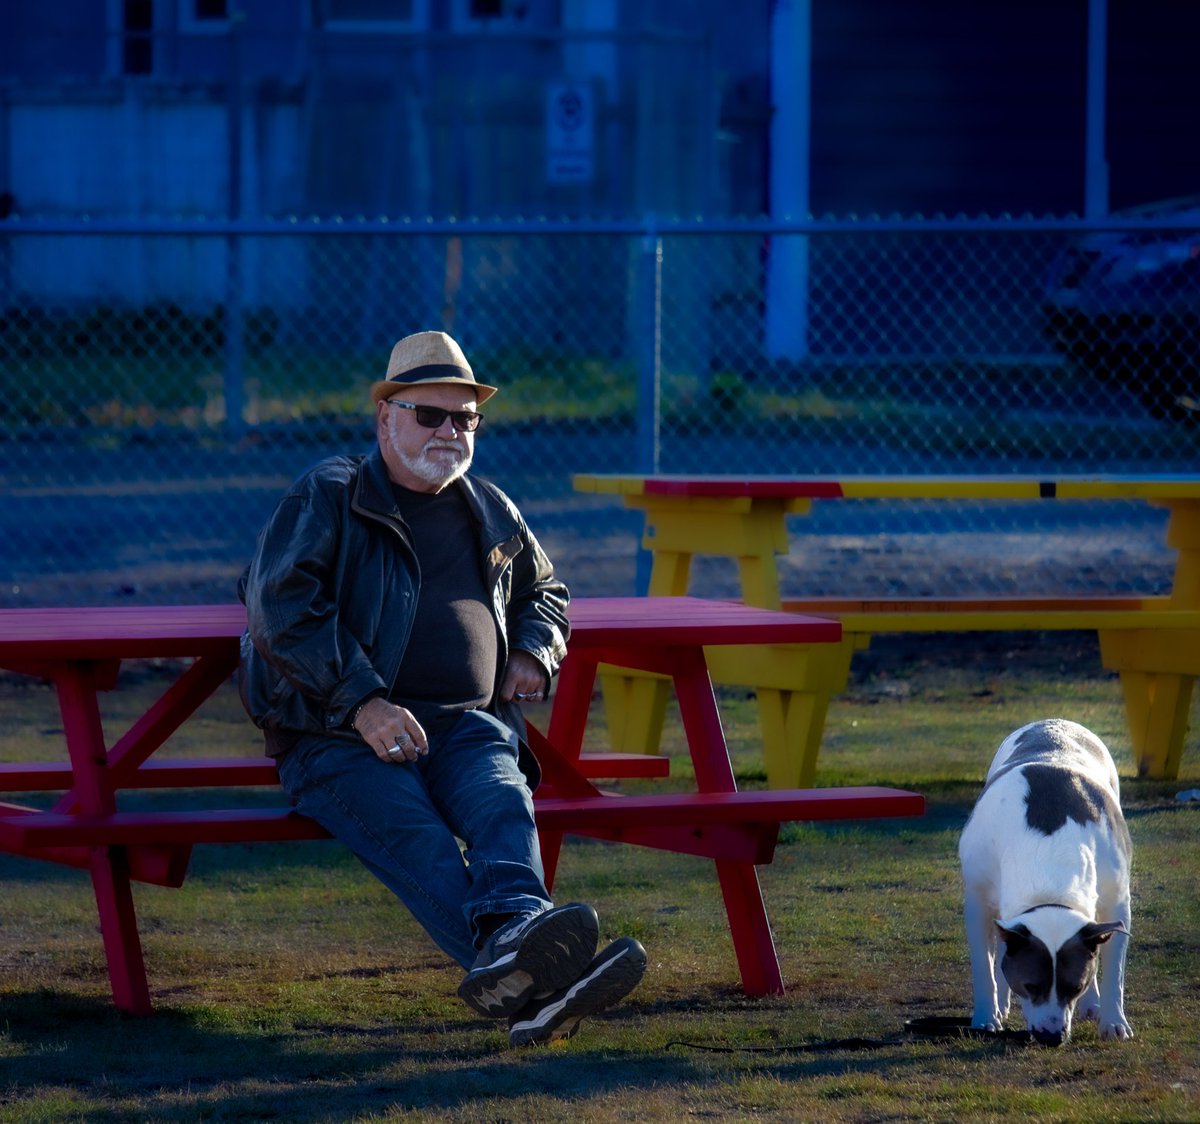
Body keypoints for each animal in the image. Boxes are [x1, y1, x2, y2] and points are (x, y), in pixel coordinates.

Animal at [955, 719, 1132, 1046]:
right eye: (1030, 986)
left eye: (1074, 988)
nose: (1053, 1037)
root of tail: (1054, 721)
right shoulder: (978, 901)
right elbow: (984, 967)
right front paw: (986, 1017)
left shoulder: (1116, 902)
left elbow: (1114, 970)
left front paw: (1113, 1020)